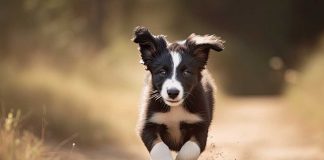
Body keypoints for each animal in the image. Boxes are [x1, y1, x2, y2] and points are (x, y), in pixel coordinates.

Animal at [133, 26, 224, 160]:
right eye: (162, 72)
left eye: (186, 72)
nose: (172, 92)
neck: (175, 108)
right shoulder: (148, 124)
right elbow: (160, 149)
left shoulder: (200, 127)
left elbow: (189, 150)